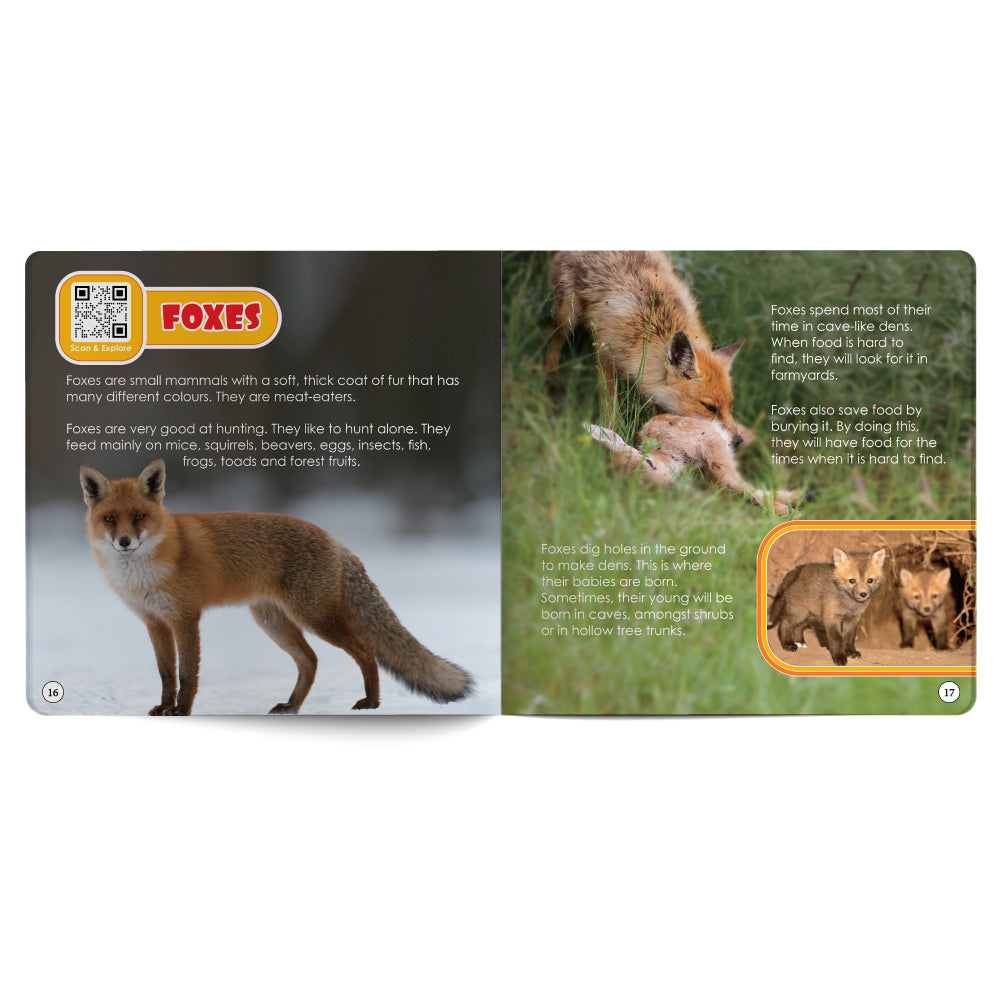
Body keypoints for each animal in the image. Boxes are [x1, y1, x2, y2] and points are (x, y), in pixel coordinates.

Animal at [79, 459, 472, 716]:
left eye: (140, 517)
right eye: (110, 519)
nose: (125, 542)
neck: (143, 573)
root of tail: (334, 539)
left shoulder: (186, 618)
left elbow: (187, 674)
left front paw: (181, 711)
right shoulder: (154, 622)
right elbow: (166, 674)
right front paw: (164, 707)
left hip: (315, 617)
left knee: (364, 651)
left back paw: (371, 704)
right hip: (273, 622)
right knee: (311, 661)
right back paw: (293, 706)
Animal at [547, 251, 745, 445]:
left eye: (731, 405)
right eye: (709, 407)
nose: (738, 441)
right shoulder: (606, 356)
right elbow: (610, 403)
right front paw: (611, 429)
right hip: (568, 317)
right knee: (552, 346)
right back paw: (552, 381)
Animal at [586, 415, 804, 516]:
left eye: (648, 462)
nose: (671, 487)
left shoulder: (711, 445)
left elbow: (733, 482)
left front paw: (794, 508)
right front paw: (792, 508)